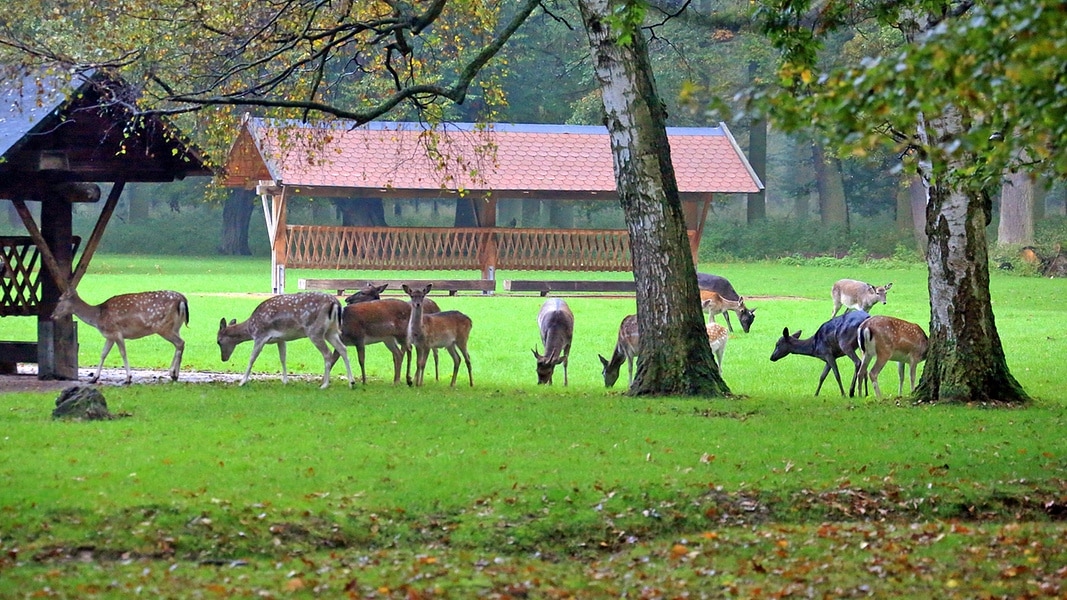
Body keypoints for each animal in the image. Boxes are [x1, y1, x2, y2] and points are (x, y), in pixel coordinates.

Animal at [50, 286, 189, 382]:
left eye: (59, 299)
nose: (52, 315)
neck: (97, 317)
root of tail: (183, 299)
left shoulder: (116, 332)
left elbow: (123, 353)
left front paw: (128, 378)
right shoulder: (109, 336)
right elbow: (103, 354)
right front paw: (94, 378)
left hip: (163, 327)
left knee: (180, 343)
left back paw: (174, 374)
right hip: (176, 327)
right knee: (180, 344)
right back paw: (173, 374)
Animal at [216, 290, 354, 388]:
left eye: (218, 341)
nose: (223, 359)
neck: (251, 327)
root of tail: (335, 303)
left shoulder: (260, 336)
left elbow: (252, 358)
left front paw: (242, 382)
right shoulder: (280, 339)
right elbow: (283, 358)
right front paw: (285, 381)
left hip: (315, 331)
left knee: (327, 353)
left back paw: (324, 385)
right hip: (331, 331)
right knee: (343, 349)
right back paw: (351, 383)